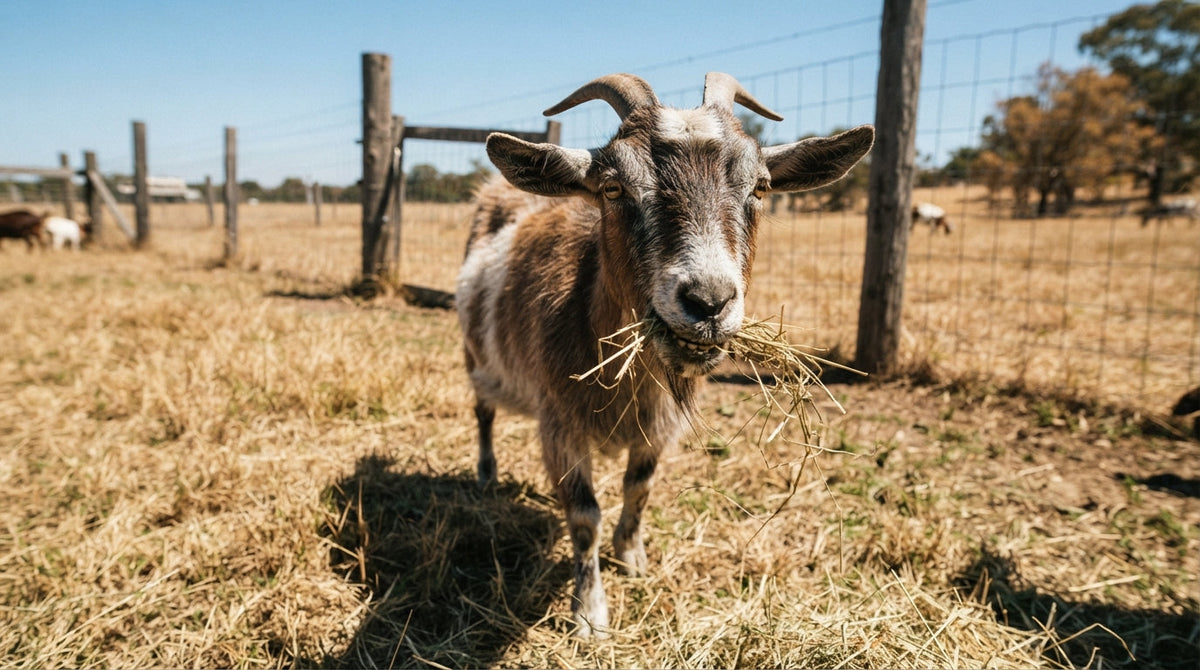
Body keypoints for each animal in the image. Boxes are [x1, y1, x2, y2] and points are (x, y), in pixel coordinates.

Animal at [456, 72, 873, 637]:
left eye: (760, 187)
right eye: (613, 188)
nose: (709, 301)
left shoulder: (659, 425)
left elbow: (639, 487)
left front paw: (632, 556)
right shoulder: (559, 421)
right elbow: (583, 515)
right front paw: (589, 613)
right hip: (474, 355)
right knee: (482, 412)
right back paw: (485, 474)